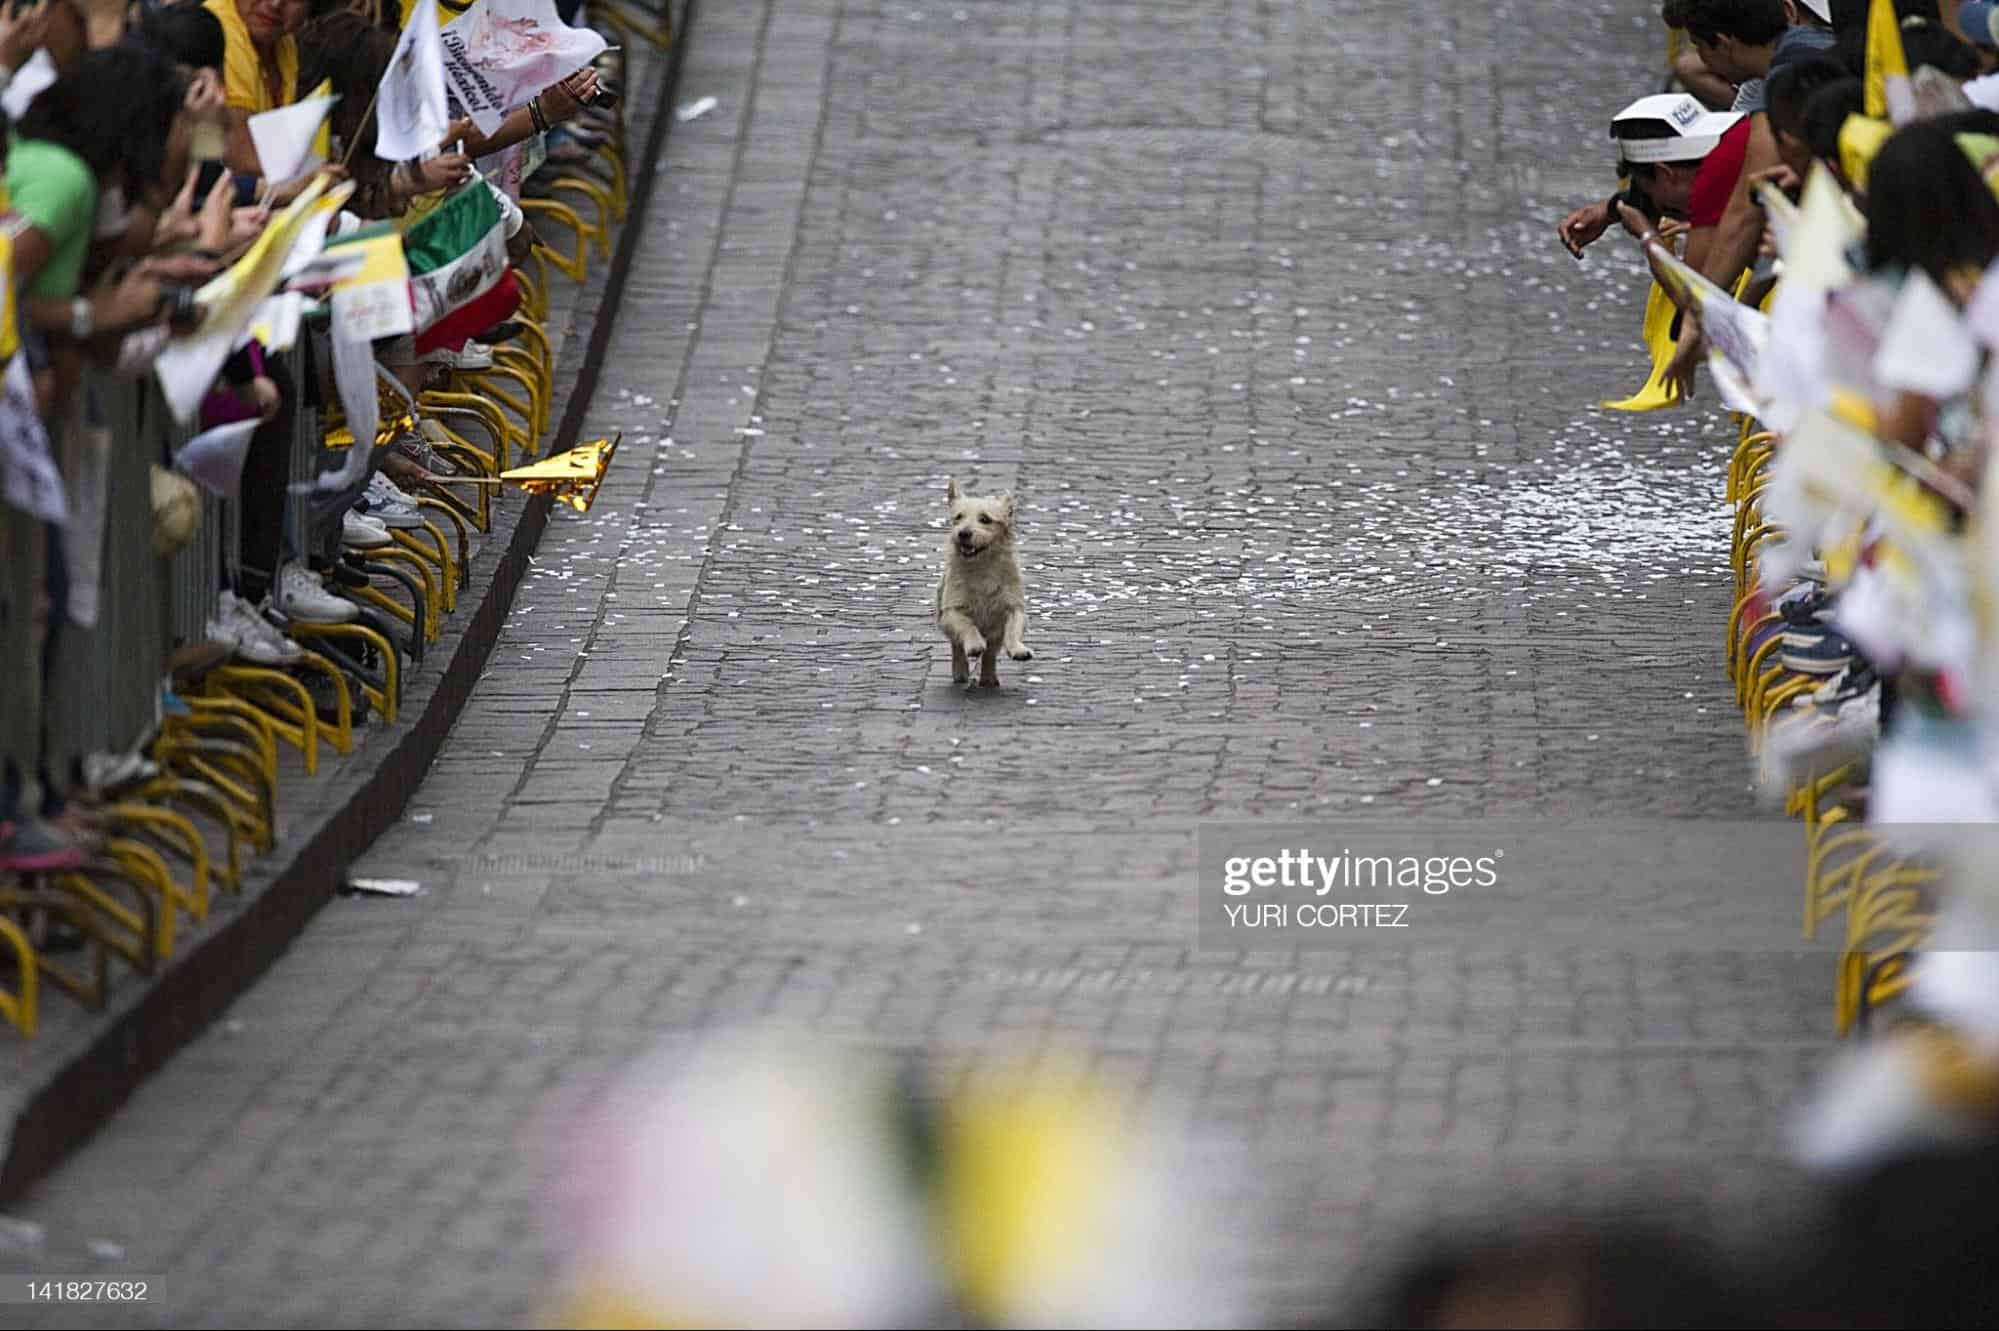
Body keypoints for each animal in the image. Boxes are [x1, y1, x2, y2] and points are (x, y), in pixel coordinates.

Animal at [931, 477, 1031, 683]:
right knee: (957, 648)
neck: (982, 567)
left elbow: (1013, 627)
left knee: (991, 653)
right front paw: (975, 644)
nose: (963, 533)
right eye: (958, 517)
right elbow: (966, 625)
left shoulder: (1013, 605)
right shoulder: (951, 610)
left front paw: (1018, 649)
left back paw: (988, 678)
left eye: (985, 519)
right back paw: (961, 672)